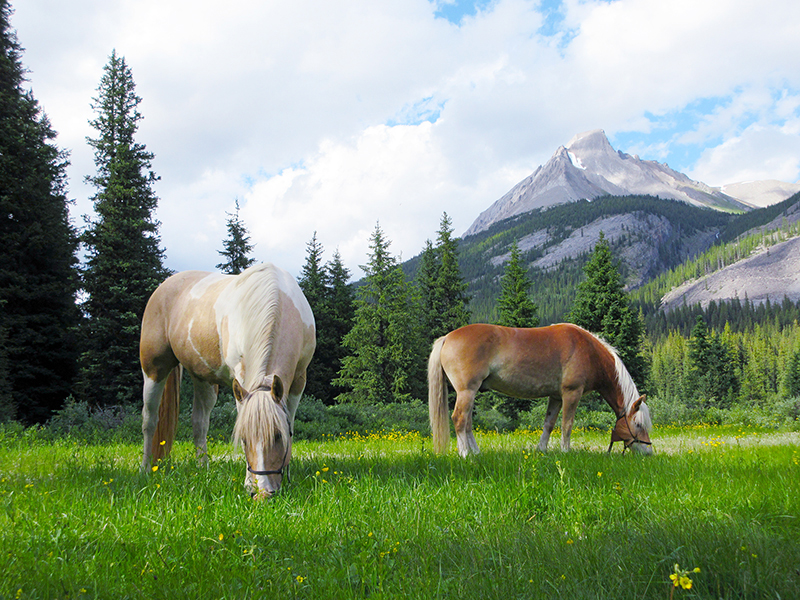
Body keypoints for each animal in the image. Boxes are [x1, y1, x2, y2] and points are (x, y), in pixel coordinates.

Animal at [139, 263, 316, 496]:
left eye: (278, 436)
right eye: (244, 439)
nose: (262, 492)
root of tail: (165, 285)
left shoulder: (298, 380)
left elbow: (291, 423)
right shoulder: (241, 380)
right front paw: (248, 481)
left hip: (202, 380)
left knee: (199, 422)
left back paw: (202, 468)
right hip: (153, 369)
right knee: (149, 420)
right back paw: (145, 468)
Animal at [428, 323, 652, 456]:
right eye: (638, 425)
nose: (648, 452)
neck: (589, 351)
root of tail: (447, 337)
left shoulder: (556, 397)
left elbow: (549, 424)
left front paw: (542, 449)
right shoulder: (571, 393)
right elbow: (567, 425)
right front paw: (565, 451)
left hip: (470, 393)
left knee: (467, 423)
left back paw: (475, 452)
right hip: (467, 391)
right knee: (459, 419)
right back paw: (465, 454)